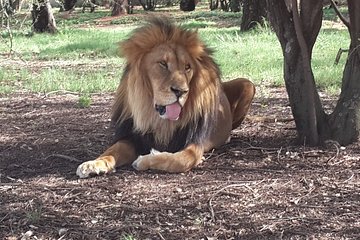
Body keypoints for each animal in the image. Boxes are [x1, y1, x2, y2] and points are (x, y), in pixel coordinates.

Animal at [76, 16, 256, 178]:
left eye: (187, 67)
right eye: (163, 64)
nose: (181, 91)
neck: (160, 121)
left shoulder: (195, 143)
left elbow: (182, 160)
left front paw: (146, 159)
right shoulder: (132, 137)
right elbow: (112, 150)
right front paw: (94, 164)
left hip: (248, 84)